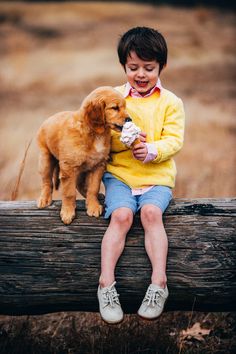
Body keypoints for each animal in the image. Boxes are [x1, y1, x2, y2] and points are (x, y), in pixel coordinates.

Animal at [37, 86, 130, 224]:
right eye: (115, 108)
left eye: (124, 107)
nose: (130, 119)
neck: (96, 134)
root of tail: (49, 118)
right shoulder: (69, 167)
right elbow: (69, 193)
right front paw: (68, 212)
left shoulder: (98, 165)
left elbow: (93, 188)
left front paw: (93, 206)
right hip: (46, 159)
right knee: (46, 182)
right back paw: (44, 199)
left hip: (83, 168)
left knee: (80, 184)